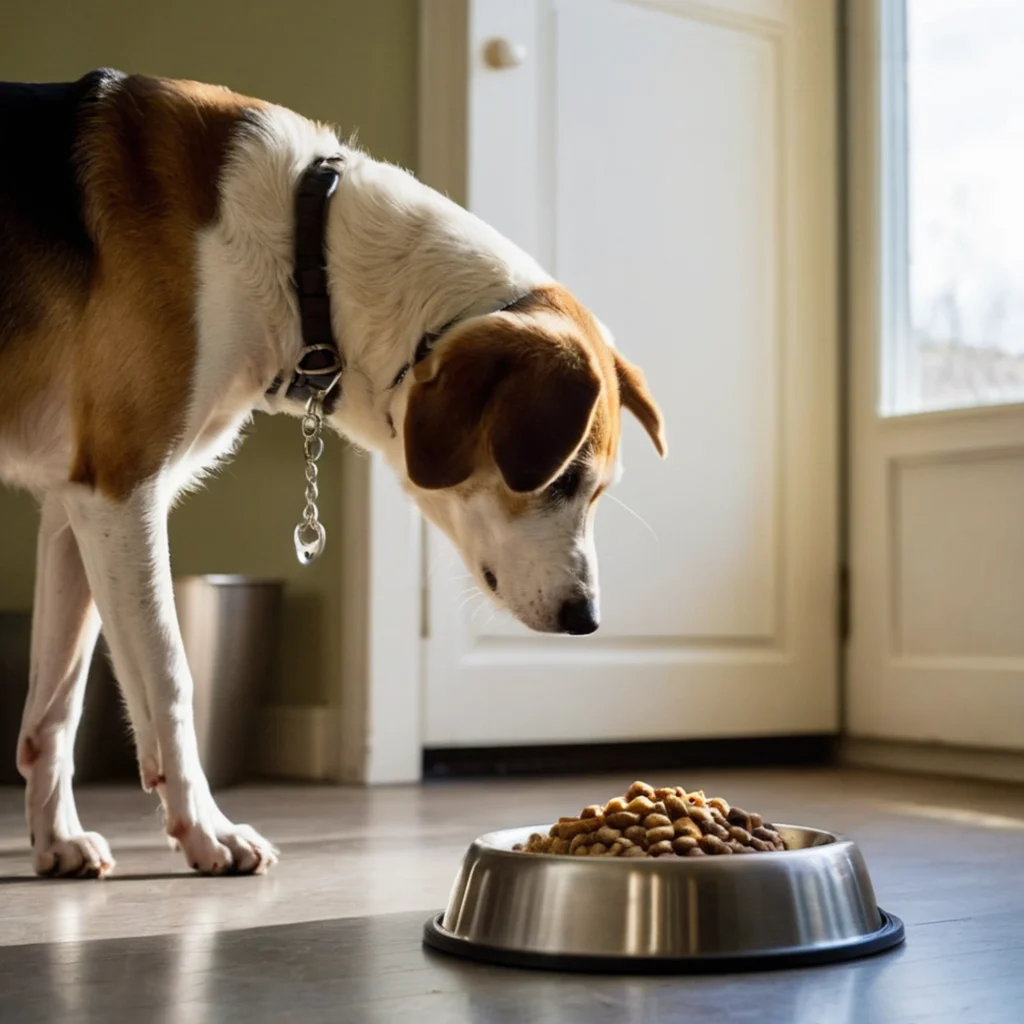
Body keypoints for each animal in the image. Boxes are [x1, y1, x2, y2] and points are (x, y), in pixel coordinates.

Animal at [0, 68, 667, 876]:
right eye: (562, 480)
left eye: (597, 492)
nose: (587, 620)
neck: (303, 249)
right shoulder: (122, 489)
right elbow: (169, 676)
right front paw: (206, 830)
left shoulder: (75, 501)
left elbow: (57, 704)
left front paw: (57, 839)